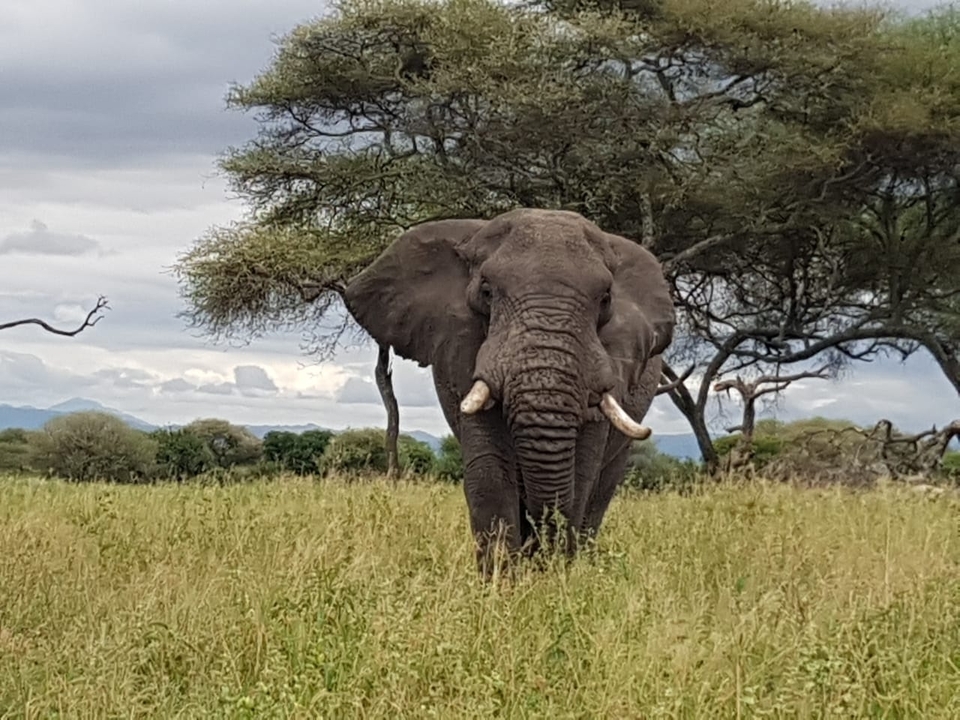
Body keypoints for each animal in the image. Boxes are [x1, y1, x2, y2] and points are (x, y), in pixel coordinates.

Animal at [342, 208, 675, 575]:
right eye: (487, 291)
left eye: (605, 299)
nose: (542, 559)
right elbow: (490, 469)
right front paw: (503, 581)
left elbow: (580, 473)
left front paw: (555, 577)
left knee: (601, 489)